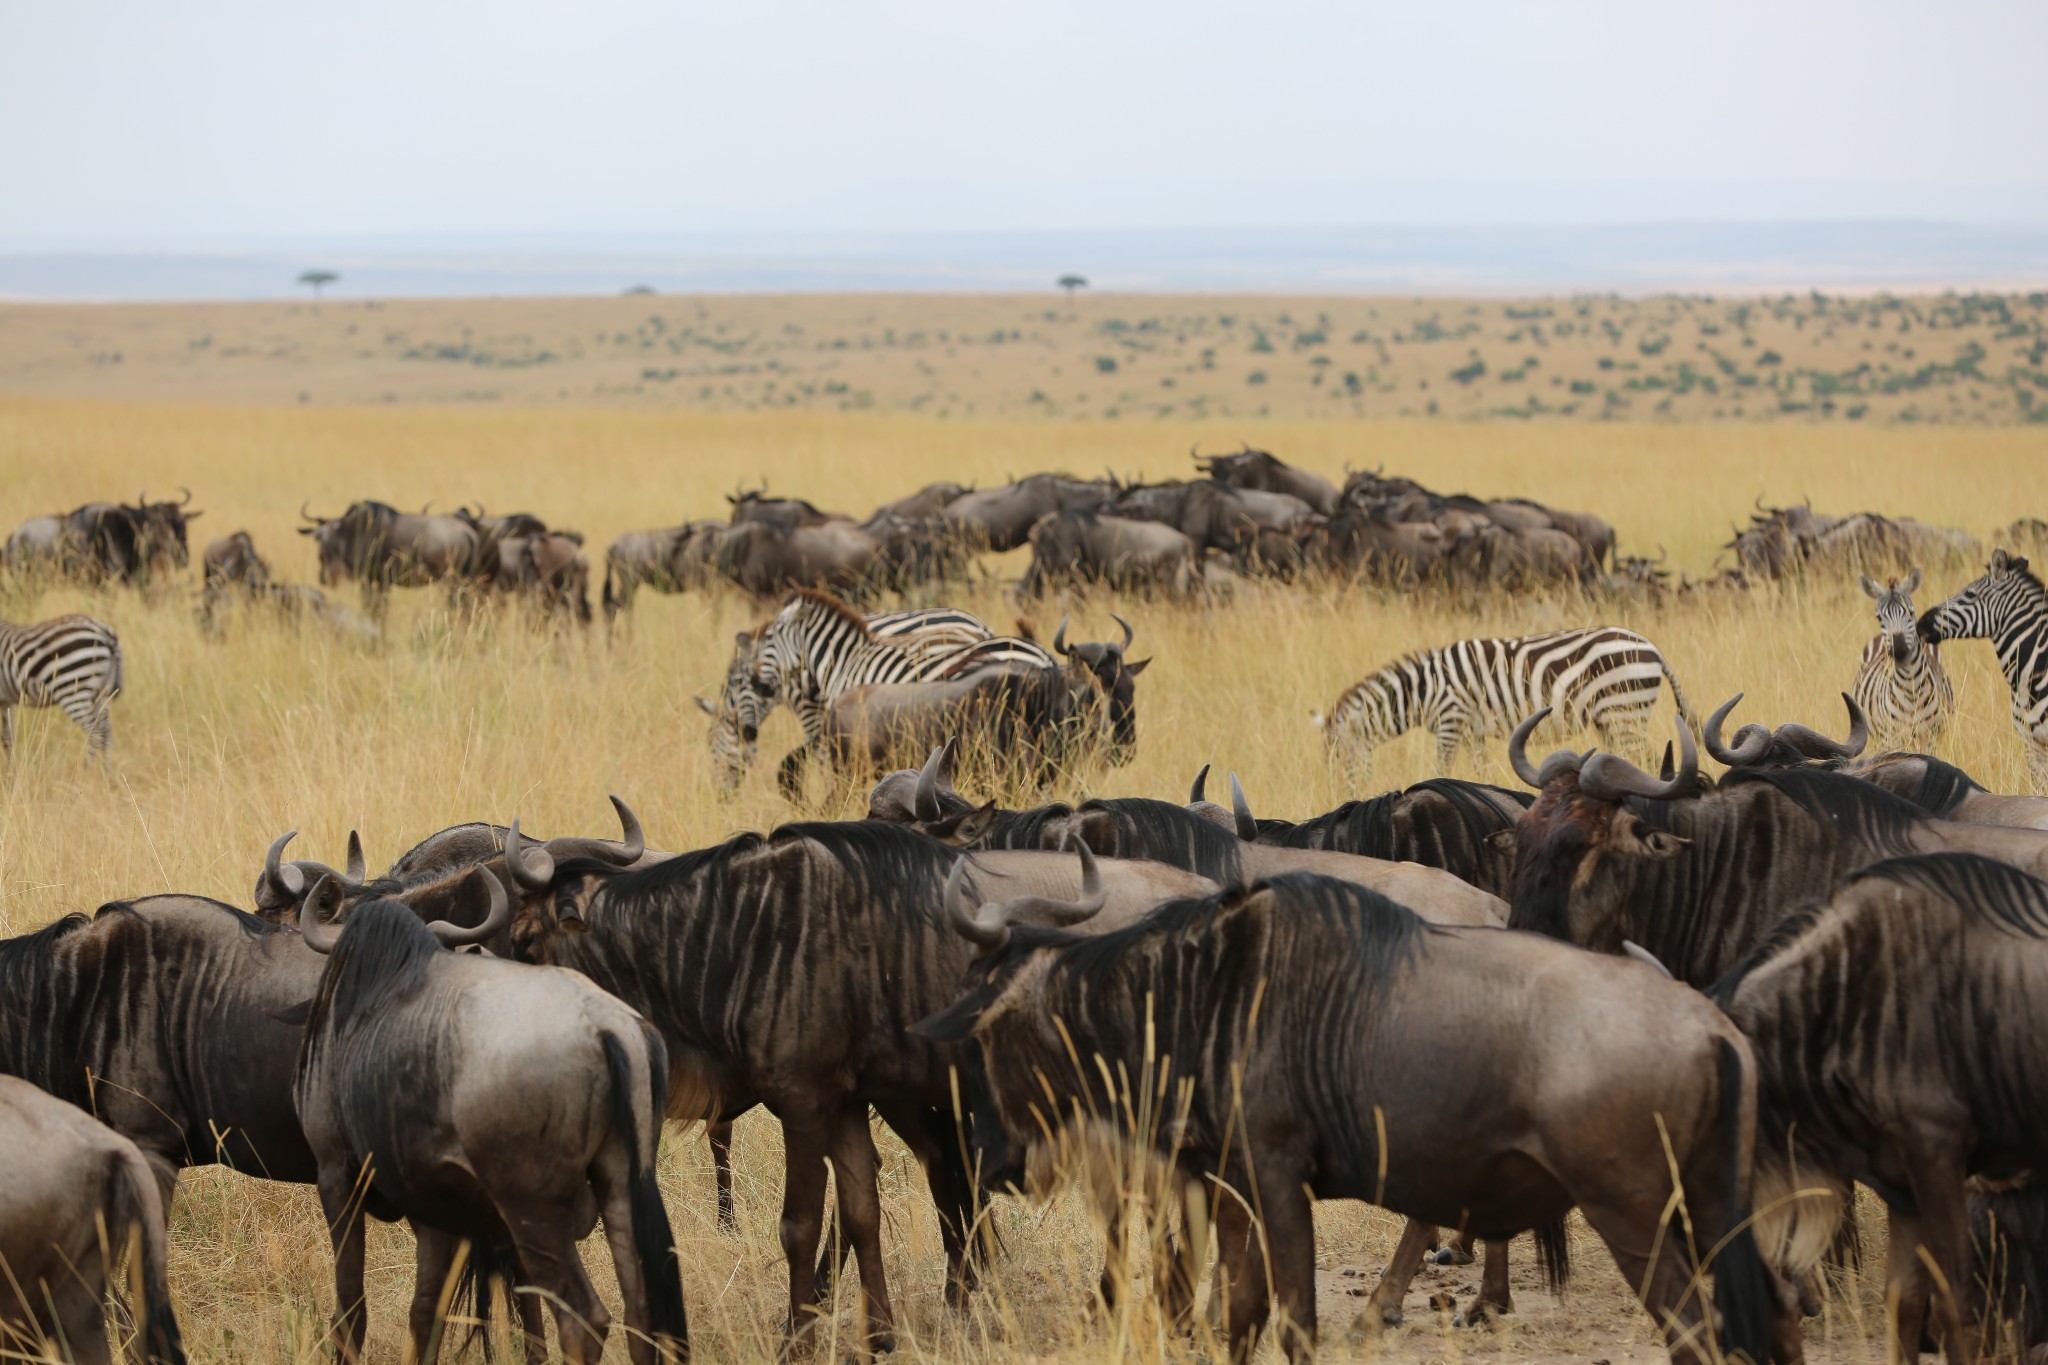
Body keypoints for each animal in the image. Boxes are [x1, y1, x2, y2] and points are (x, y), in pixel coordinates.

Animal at [1, 618, 122, 765]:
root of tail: (104, 632)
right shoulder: (6, 701)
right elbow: (8, 739)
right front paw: (12, 769)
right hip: (102, 692)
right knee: (106, 731)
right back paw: (106, 771)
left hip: (73, 689)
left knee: (95, 732)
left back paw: (84, 769)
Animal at [1318, 626, 1703, 785]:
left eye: (1340, 758)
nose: (1341, 796)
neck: (1425, 690)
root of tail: (1652, 646)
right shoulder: (1471, 731)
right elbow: (1481, 770)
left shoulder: (1451, 719)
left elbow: (1441, 767)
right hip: (1613, 718)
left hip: (1624, 710)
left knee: (1646, 761)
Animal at [1851, 573, 1957, 753]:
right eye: (1879, 617)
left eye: (1910, 612)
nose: (1899, 649)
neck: (1911, 689)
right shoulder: (1891, 737)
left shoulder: (1929, 735)